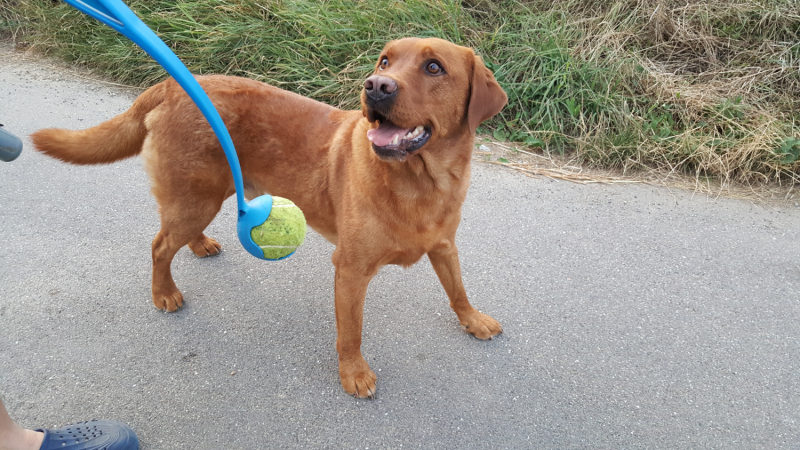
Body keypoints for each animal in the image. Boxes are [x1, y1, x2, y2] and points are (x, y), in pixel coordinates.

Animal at [32, 37, 506, 398]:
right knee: (159, 245)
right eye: (385, 61)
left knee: (175, 234)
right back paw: (164, 292)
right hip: (196, 198)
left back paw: (199, 244)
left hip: (204, 195)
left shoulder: (444, 245)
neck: (422, 182)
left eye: (433, 67)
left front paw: (472, 319)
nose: (375, 86)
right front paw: (353, 373)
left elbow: (458, 289)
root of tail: (170, 84)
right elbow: (351, 332)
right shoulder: (350, 270)